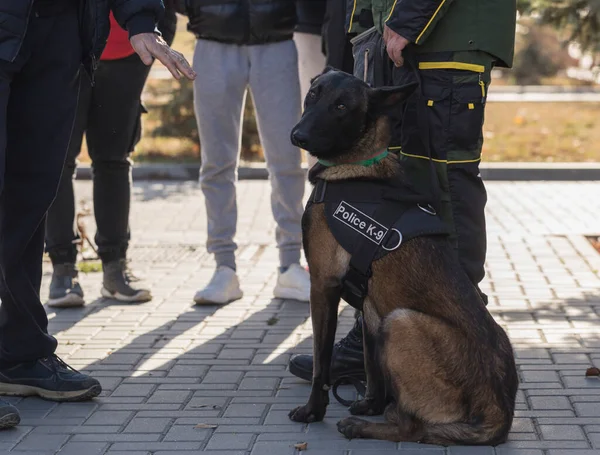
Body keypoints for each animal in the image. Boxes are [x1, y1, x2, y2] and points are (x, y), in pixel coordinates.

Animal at [286, 69, 516, 448]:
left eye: (341, 107)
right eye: (313, 94)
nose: (297, 135)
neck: (358, 165)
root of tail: (499, 413)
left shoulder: (322, 285)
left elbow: (321, 361)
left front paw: (313, 411)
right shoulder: (367, 307)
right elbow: (370, 365)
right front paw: (370, 403)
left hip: (401, 321)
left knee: (413, 429)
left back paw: (362, 428)